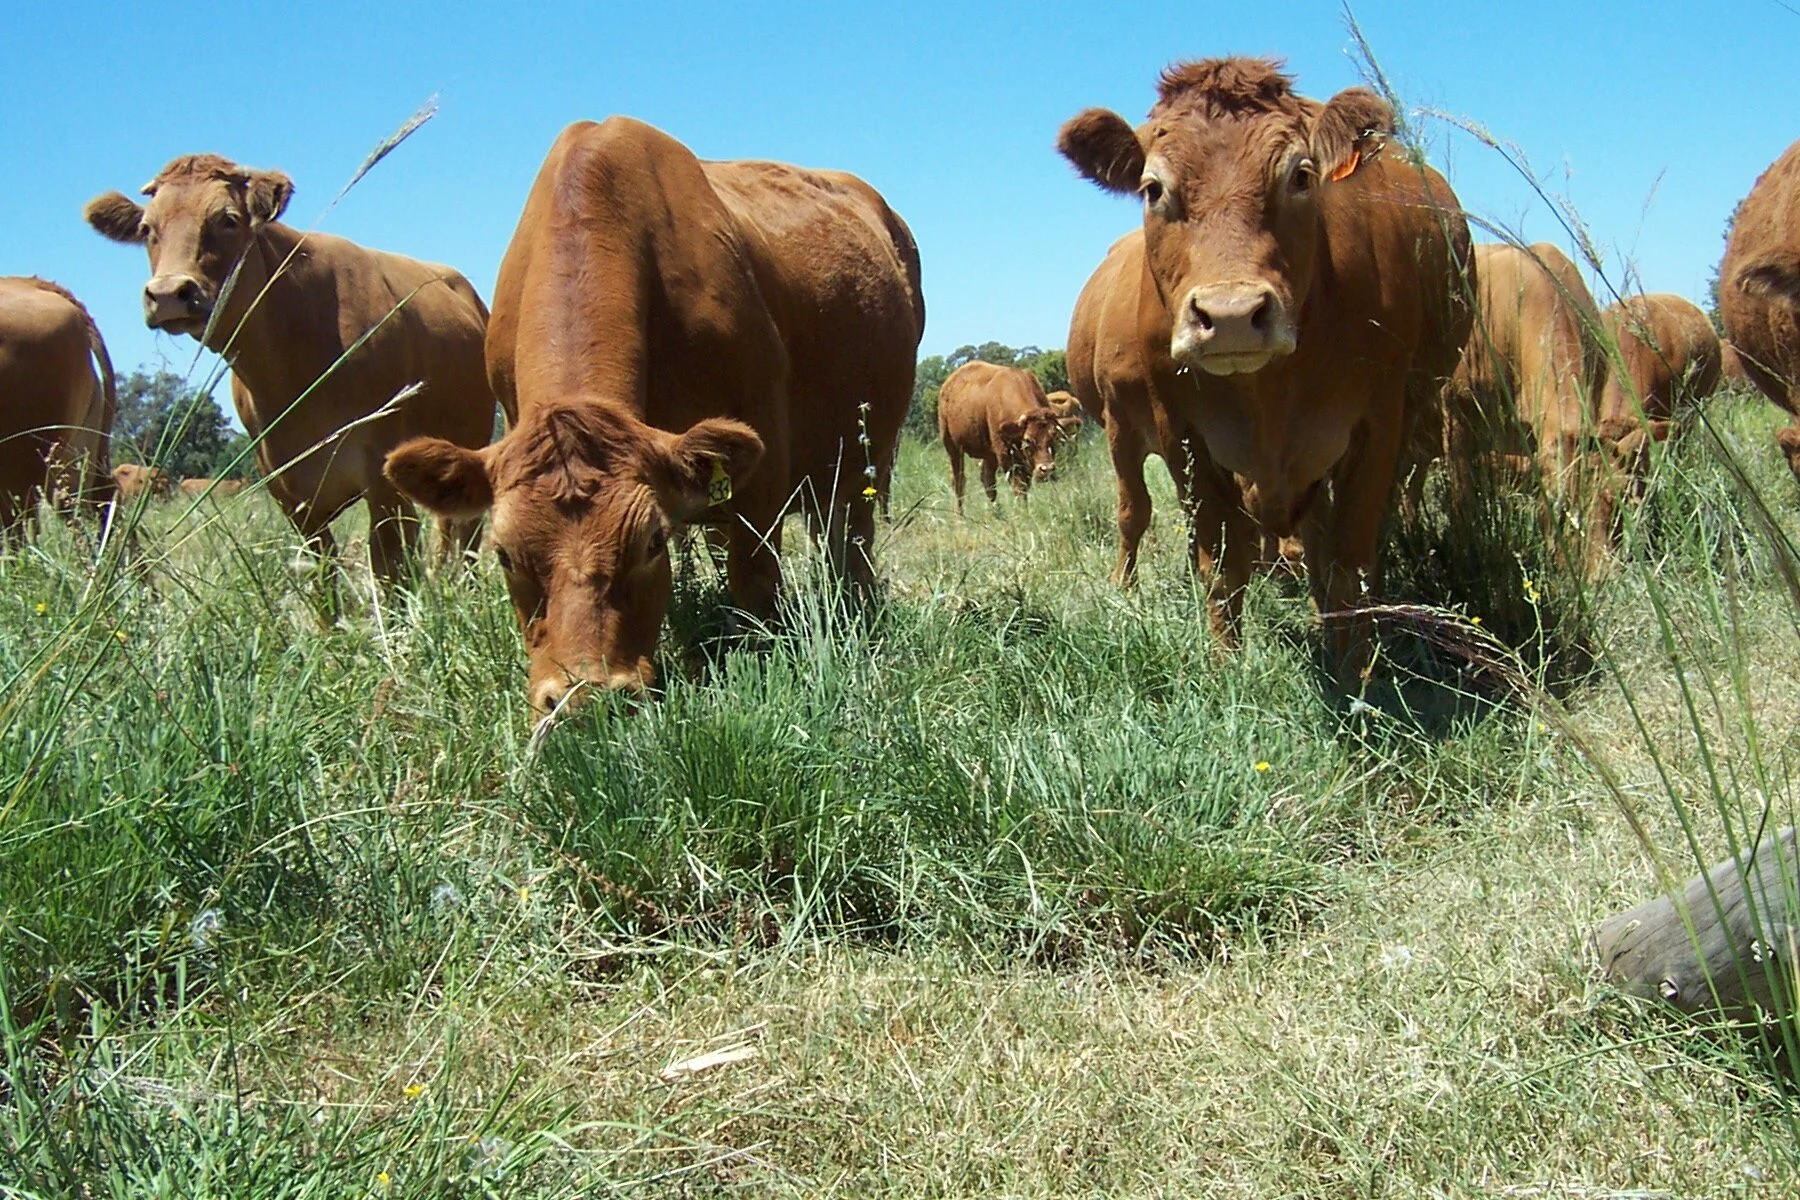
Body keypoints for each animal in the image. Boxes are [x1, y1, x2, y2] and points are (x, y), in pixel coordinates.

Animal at [84, 154, 502, 588]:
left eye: (227, 219)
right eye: (147, 228)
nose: (168, 294)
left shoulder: (385, 480)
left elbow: (390, 573)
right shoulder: (288, 492)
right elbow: (323, 579)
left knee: (465, 537)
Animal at [382, 117, 924, 713]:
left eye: (652, 543)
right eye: (503, 556)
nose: (586, 697)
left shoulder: (764, 439)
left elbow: (755, 577)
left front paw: (756, 660)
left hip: (867, 458)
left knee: (849, 540)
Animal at [936, 361, 1067, 512]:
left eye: (1054, 435)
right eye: (1028, 440)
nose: (1046, 469)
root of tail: (948, 385)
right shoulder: (1006, 455)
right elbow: (1019, 487)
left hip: (988, 454)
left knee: (988, 482)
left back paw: (995, 513)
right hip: (952, 447)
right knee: (959, 482)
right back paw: (959, 514)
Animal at [1057, 57, 1473, 678]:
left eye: (1301, 176)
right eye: (1153, 189)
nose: (1230, 315)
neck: (1265, 398)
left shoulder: (1378, 423)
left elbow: (1347, 559)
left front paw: (1351, 666)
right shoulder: (1181, 432)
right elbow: (1220, 559)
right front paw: (1226, 663)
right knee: (1137, 512)